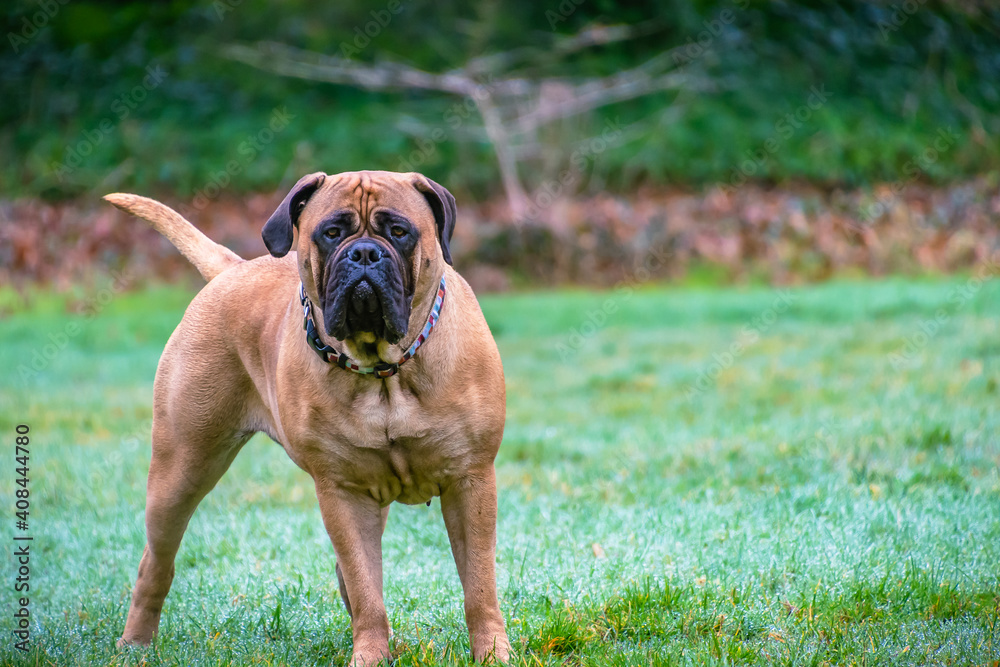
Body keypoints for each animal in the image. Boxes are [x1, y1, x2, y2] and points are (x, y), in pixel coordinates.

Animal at [106, 171, 512, 664]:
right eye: (331, 233)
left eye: (399, 232)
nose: (364, 253)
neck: (384, 371)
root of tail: (231, 270)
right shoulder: (343, 493)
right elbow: (367, 588)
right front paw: (370, 656)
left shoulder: (471, 480)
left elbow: (479, 586)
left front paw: (493, 653)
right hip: (180, 468)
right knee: (156, 561)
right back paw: (134, 643)